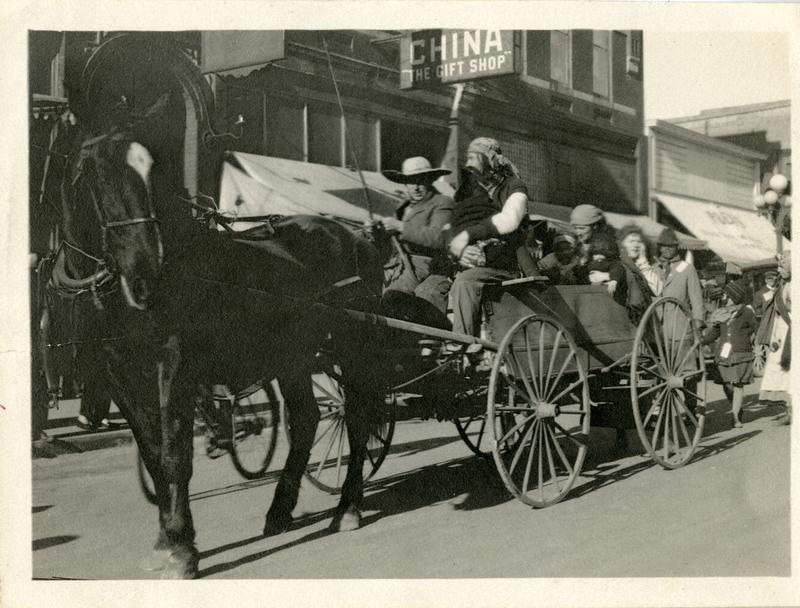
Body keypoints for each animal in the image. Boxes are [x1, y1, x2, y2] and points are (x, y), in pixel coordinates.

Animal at [49, 96, 388, 580]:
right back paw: (280, 511)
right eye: (93, 171)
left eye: (152, 168)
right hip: (293, 355)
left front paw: (180, 548)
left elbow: (175, 454)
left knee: (357, 417)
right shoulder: (119, 376)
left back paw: (347, 509)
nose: (147, 270)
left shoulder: (174, 365)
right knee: (305, 419)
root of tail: (356, 234)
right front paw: (167, 539)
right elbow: (153, 455)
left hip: (351, 347)